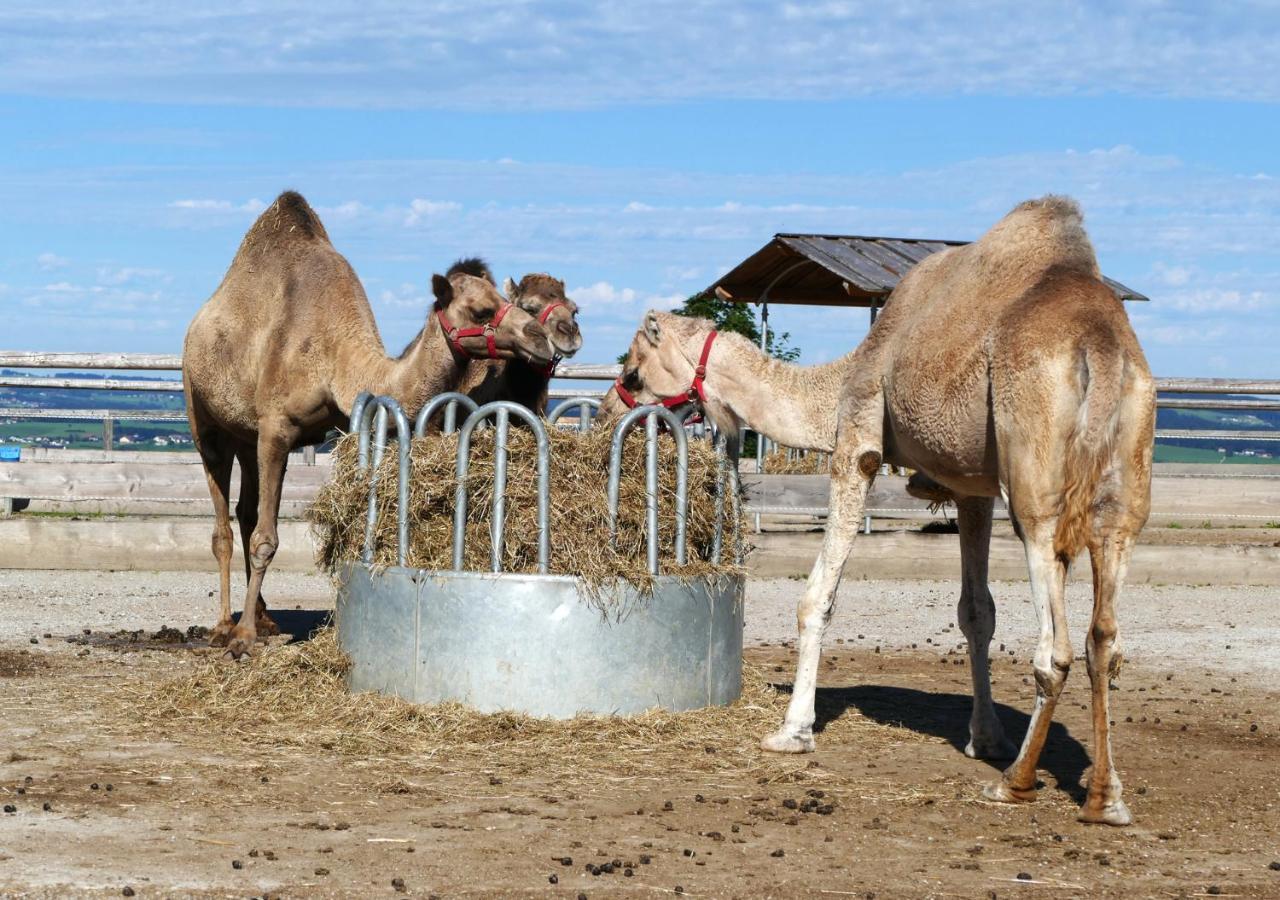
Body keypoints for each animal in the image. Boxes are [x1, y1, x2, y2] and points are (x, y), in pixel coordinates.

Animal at [184, 189, 555, 660]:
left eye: (509, 301)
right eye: (482, 309)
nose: (540, 339)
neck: (336, 358)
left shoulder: (340, 422)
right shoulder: (276, 428)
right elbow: (267, 538)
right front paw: (244, 638)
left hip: (245, 434)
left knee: (245, 513)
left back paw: (266, 618)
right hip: (205, 420)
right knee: (223, 526)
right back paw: (223, 626)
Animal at [609, 198, 1162, 829]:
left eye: (633, 371)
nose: (607, 410)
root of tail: (1102, 349)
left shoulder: (857, 443)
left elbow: (817, 597)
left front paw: (792, 732)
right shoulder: (971, 487)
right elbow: (977, 612)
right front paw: (986, 738)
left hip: (1034, 480)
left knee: (1056, 642)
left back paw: (1016, 784)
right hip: (1129, 475)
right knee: (1106, 635)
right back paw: (1105, 798)